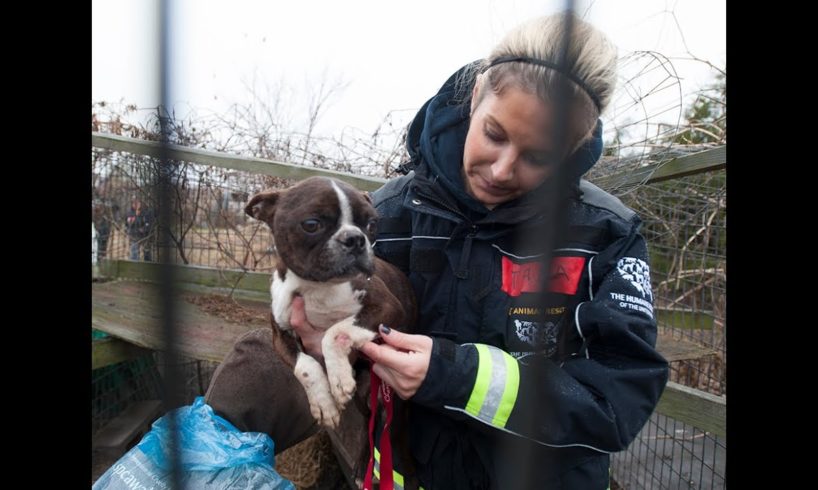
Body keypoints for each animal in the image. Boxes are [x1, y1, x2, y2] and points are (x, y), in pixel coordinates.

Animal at [245, 178, 414, 426]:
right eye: (311, 224)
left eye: (372, 224)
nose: (355, 238)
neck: (316, 287)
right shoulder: (281, 336)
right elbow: (305, 366)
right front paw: (323, 404)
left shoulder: (387, 308)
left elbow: (333, 333)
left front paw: (339, 378)